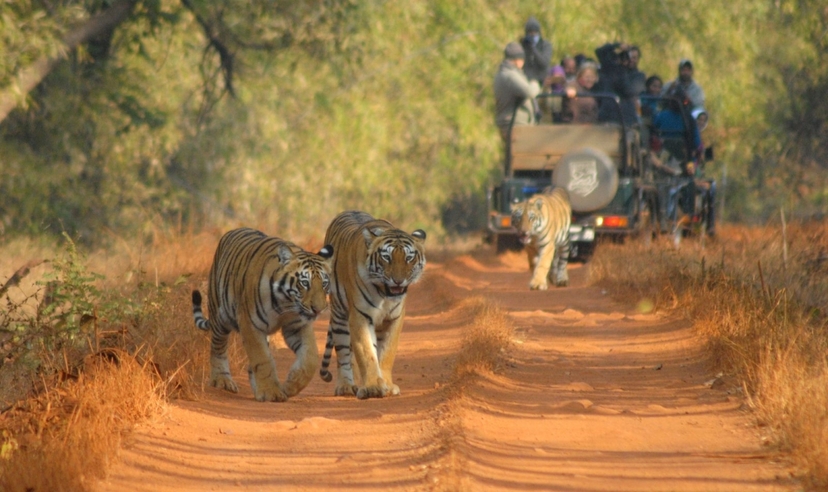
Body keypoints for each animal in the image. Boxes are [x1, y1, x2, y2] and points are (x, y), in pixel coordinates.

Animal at [191, 227, 333, 402]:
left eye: (324, 284)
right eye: (305, 283)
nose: (318, 309)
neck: (286, 302)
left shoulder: (297, 325)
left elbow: (311, 357)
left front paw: (291, 385)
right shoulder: (250, 324)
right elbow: (262, 358)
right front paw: (271, 392)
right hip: (220, 316)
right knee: (218, 348)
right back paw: (222, 380)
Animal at [318, 211, 426, 399]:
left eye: (409, 258)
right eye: (386, 257)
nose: (398, 281)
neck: (384, 293)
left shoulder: (394, 319)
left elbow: (386, 353)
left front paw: (387, 386)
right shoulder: (360, 316)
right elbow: (366, 353)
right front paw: (373, 387)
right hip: (339, 316)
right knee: (344, 354)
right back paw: (346, 386)